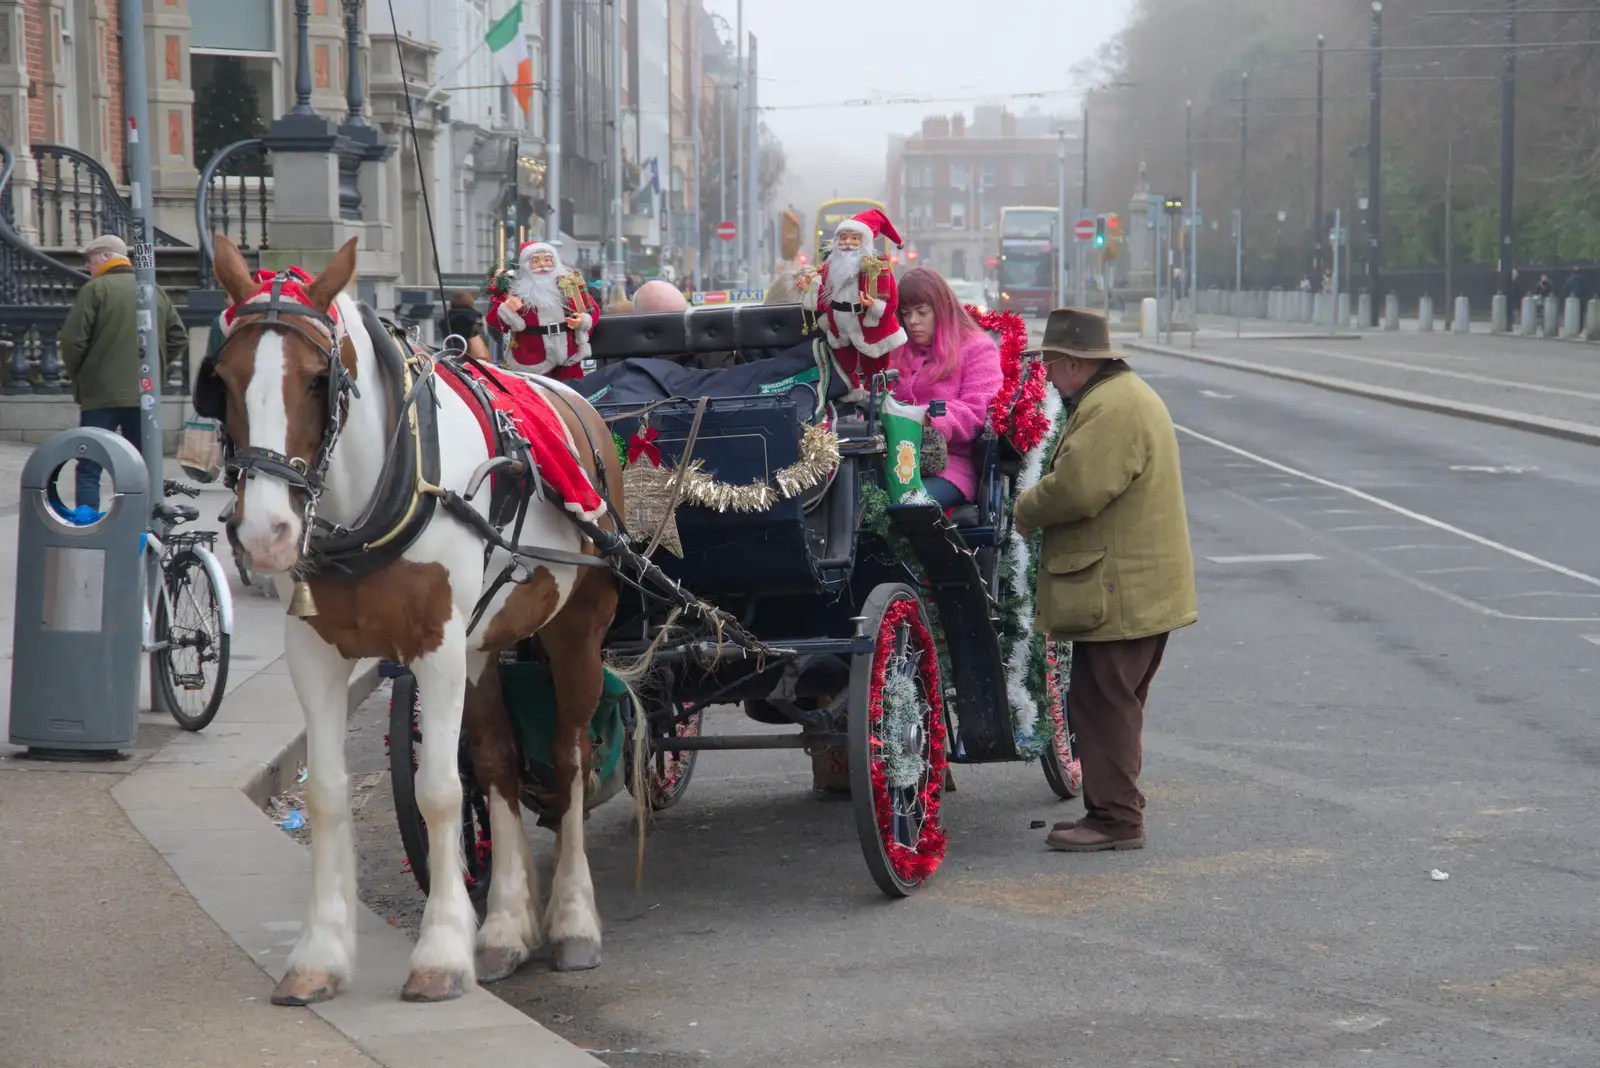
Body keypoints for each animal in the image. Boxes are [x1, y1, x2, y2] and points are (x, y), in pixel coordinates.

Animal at [201, 233, 624, 1004]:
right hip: (485, 645)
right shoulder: (316, 652)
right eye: (222, 377)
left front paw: (441, 952)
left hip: (576, 628)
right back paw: (507, 926)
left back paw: (573, 920)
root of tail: (567, 389)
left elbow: (438, 789)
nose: (268, 533)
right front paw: (320, 954)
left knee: (570, 756)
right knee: (500, 763)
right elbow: (332, 792)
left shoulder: (437, 647)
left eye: (319, 380)